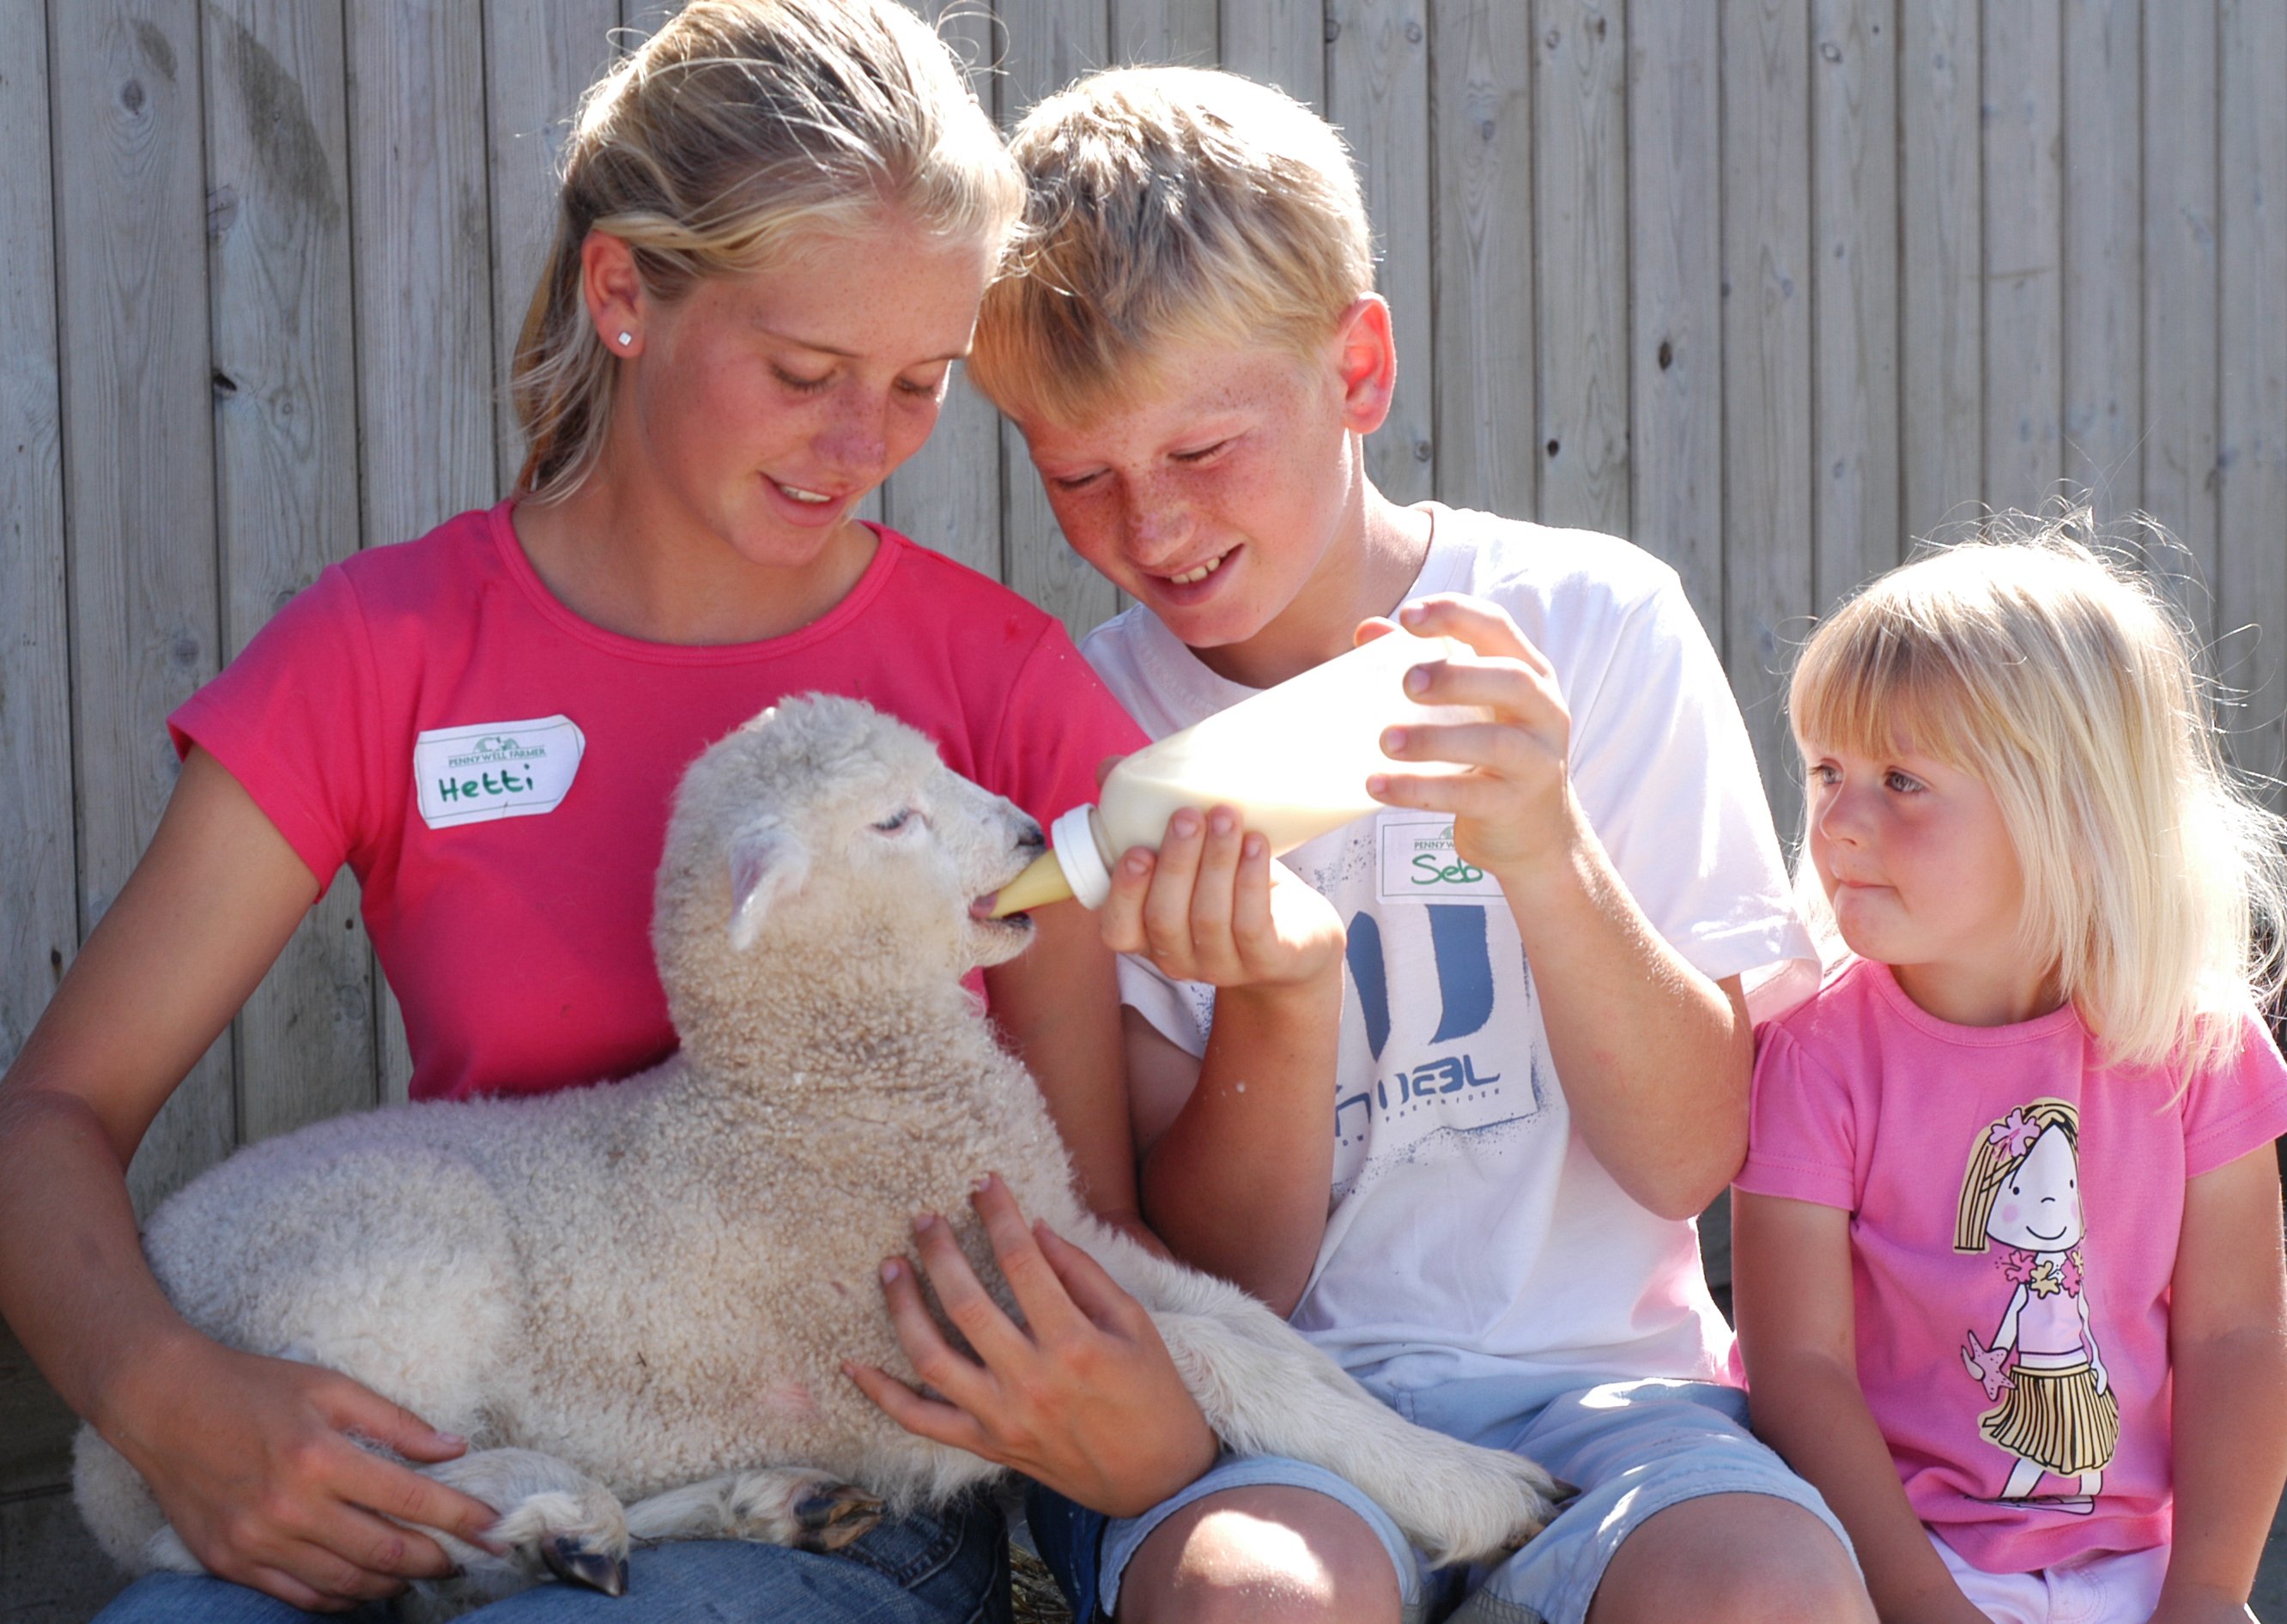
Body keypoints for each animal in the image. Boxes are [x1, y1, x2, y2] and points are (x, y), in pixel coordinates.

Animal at [80, 695, 1564, 1619]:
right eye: (890, 822)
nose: (1027, 833)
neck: (808, 1095)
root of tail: (99, 1449)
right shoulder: (927, 1311)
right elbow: (1216, 1357)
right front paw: (1479, 1493)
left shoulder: (1060, 1234)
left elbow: (1258, 1329)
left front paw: (1426, 1445)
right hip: (385, 1277)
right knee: (370, 1484)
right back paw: (552, 1509)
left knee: (429, 1561)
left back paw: (728, 1511)